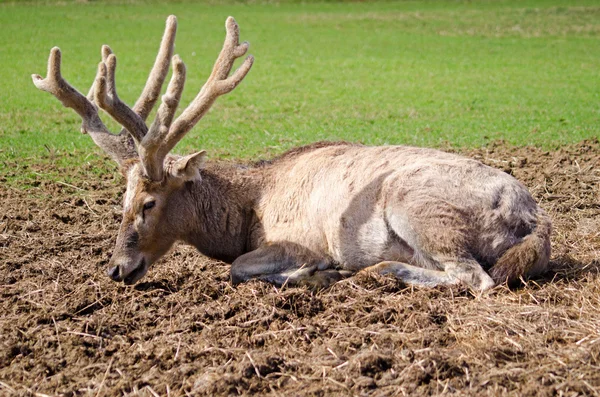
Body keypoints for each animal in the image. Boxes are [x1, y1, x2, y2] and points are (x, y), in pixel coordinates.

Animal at [31, 15, 548, 290]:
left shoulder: (298, 237)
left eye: (149, 203)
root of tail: (537, 222)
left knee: (476, 278)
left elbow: (239, 268)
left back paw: (365, 271)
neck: (247, 212)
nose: (117, 269)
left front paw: (312, 272)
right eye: (120, 201)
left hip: (420, 207)